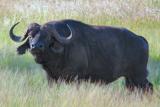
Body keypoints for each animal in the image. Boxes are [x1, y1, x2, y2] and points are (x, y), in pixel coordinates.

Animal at [9, 19, 152, 92]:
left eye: (48, 37)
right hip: (130, 79)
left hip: (139, 77)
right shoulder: (51, 78)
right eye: (30, 36)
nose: (35, 46)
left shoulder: (75, 79)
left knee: (149, 88)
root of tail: (141, 39)